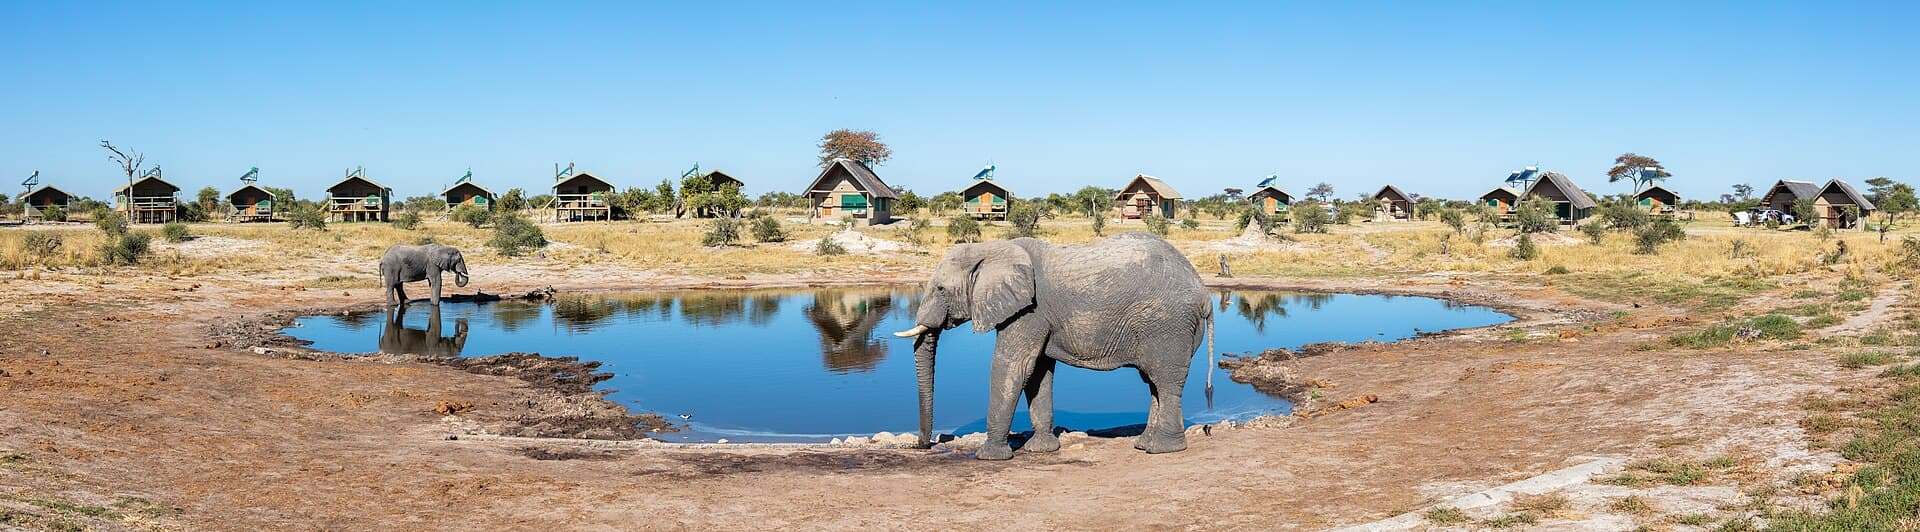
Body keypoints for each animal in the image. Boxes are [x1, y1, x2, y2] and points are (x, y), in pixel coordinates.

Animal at [893, 233, 1212, 460]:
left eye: (941, 290)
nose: (924, 445)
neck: (991, 249)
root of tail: (1205, 295)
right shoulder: (1036, 316)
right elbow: (1038, 373)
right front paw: (1041, 449)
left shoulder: (1029, 310)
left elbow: (1012, 366)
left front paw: (989, 456)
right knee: (1153, 383)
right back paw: (1143, 445)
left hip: (1167, 325)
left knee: (1165, 381)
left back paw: (1162, 449)